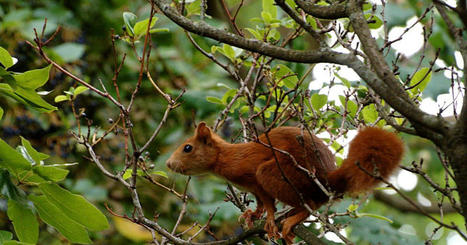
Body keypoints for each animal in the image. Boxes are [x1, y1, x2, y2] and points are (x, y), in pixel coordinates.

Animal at [166, 122, 404, 243]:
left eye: (188, 148)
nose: (168, 164)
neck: (228, 157)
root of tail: (327, 180)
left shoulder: (256, 179)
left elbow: (269, 204)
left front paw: (270, 221)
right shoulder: (254, 189)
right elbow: (260, 205)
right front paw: (251, 215)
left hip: (275, 173)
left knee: (311, 204)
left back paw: (291, 219)